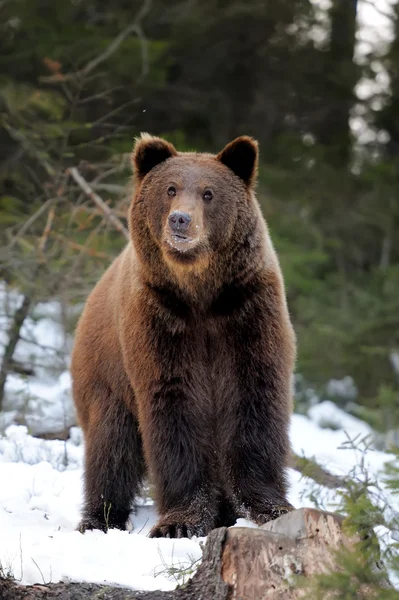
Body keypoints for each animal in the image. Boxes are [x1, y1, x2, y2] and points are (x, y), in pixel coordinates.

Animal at [71, 134, 296, 536]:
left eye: (208, 193)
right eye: (170, 188)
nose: (180, 219)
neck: (200, 292)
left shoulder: (247, 311)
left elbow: (255, 396)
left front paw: (268, 506)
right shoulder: (160, 319)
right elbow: (175, 405)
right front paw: (180, 522)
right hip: (106, 377)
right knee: (111, 447)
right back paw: (99, 518)